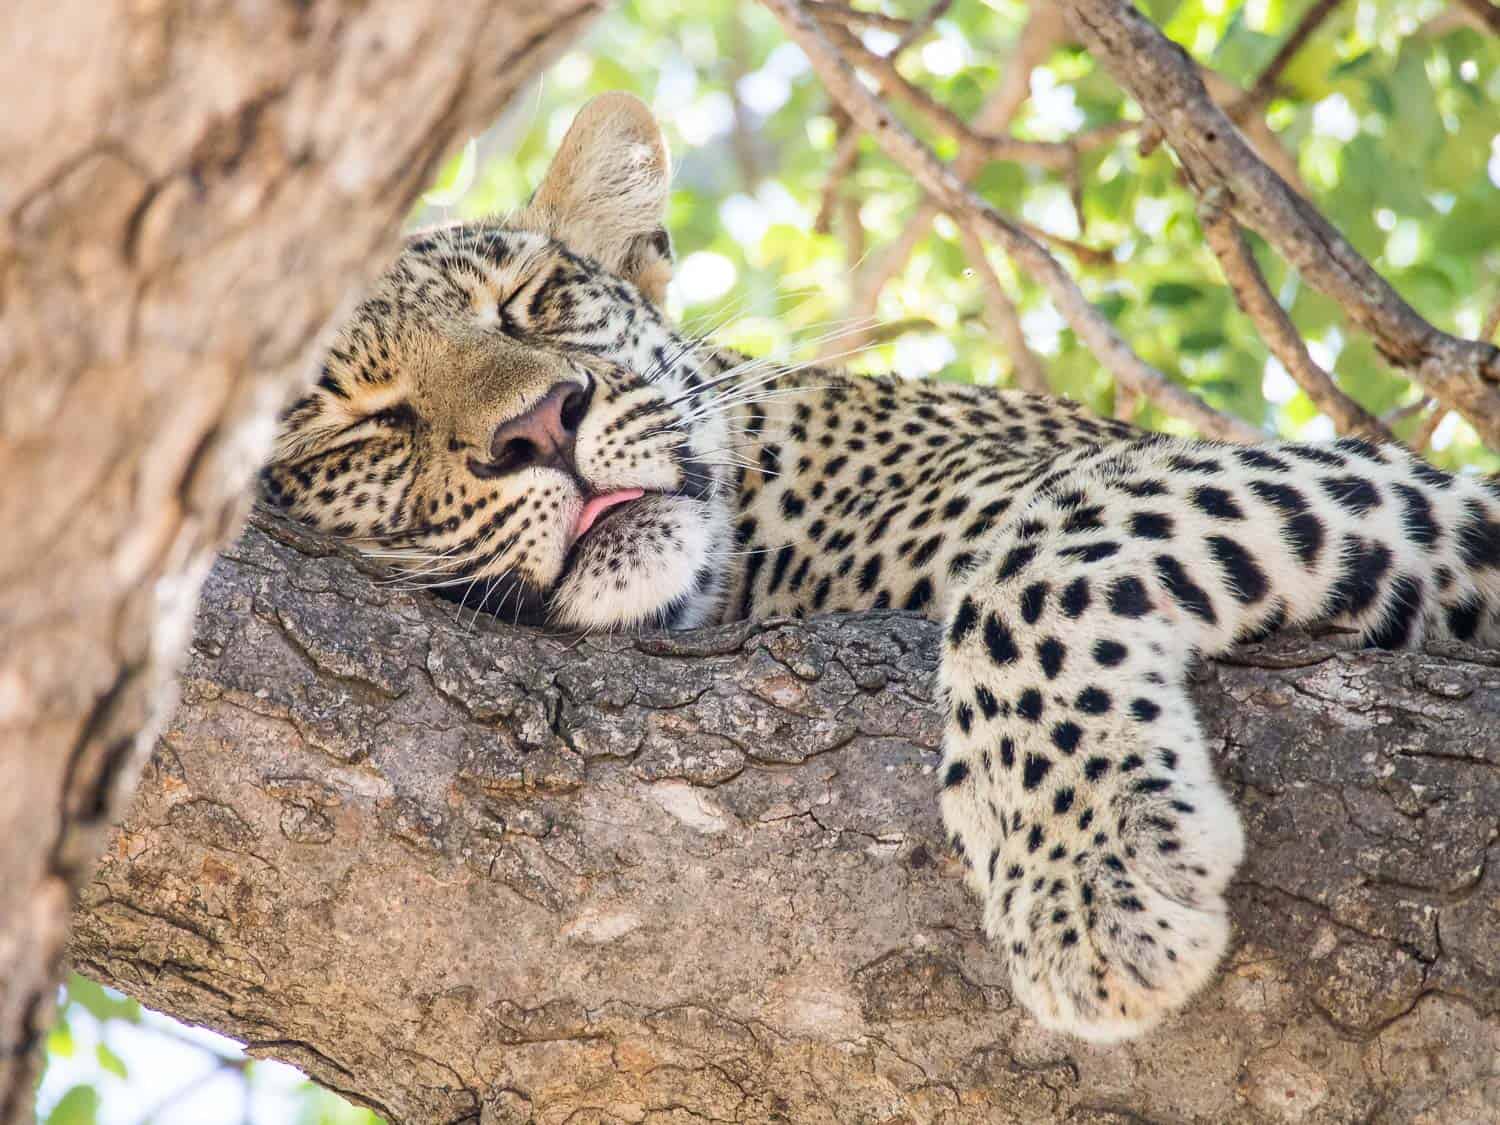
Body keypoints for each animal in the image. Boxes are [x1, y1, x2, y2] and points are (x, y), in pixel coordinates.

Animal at [264, 92, 1500, 1044]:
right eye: (357, 427)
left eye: (529, 302)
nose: (540, 425)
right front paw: (1090, 874)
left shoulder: (1400, 487)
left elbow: (1044, 544)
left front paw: (1089, 878)